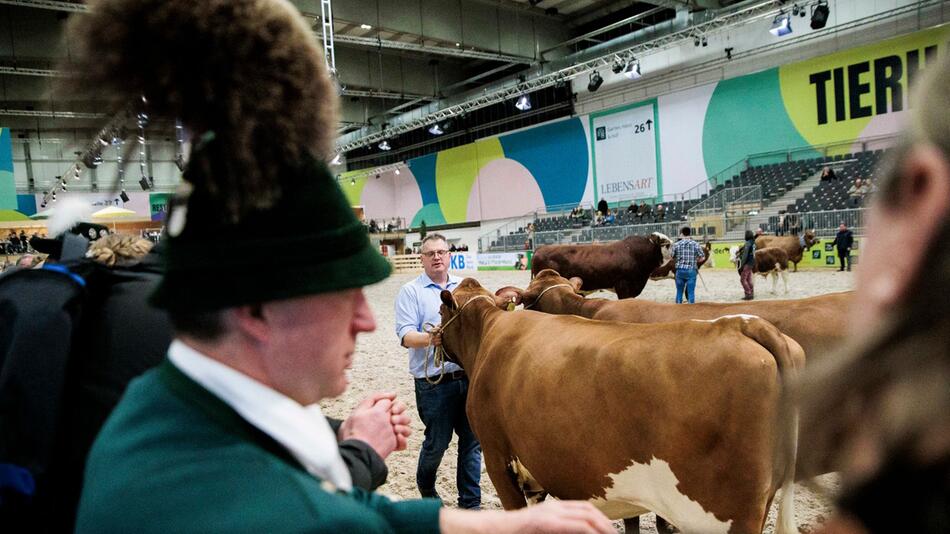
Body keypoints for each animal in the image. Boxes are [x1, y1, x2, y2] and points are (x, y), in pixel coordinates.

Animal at [438, 278, 804, 532]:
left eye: (441, 310)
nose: (431, 335)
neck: (489, 332)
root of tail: (742, 324)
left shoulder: (497, 456)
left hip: (724, 513)